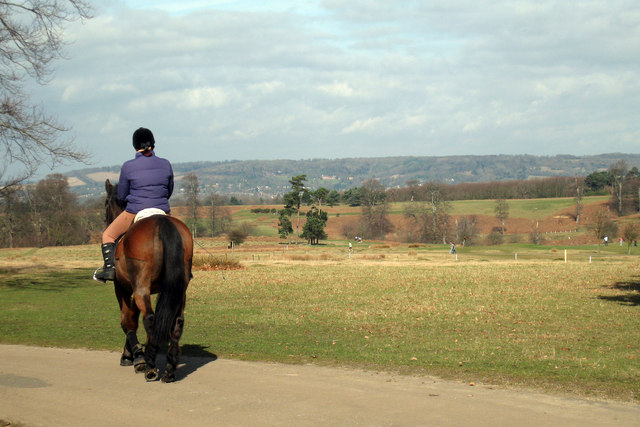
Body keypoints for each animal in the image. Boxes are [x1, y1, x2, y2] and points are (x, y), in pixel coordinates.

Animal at [101, 179, 192, 382]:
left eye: (106, 203)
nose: (105, 220)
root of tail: (162, 222)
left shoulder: (122, 288)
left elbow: (128, 321)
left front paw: (134, 357)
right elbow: (133, 319)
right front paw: (132, 355)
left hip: (140, 287)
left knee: (149, 318)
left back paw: (150, 366)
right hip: (179, 290)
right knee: (177, 321)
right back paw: (169, 369)